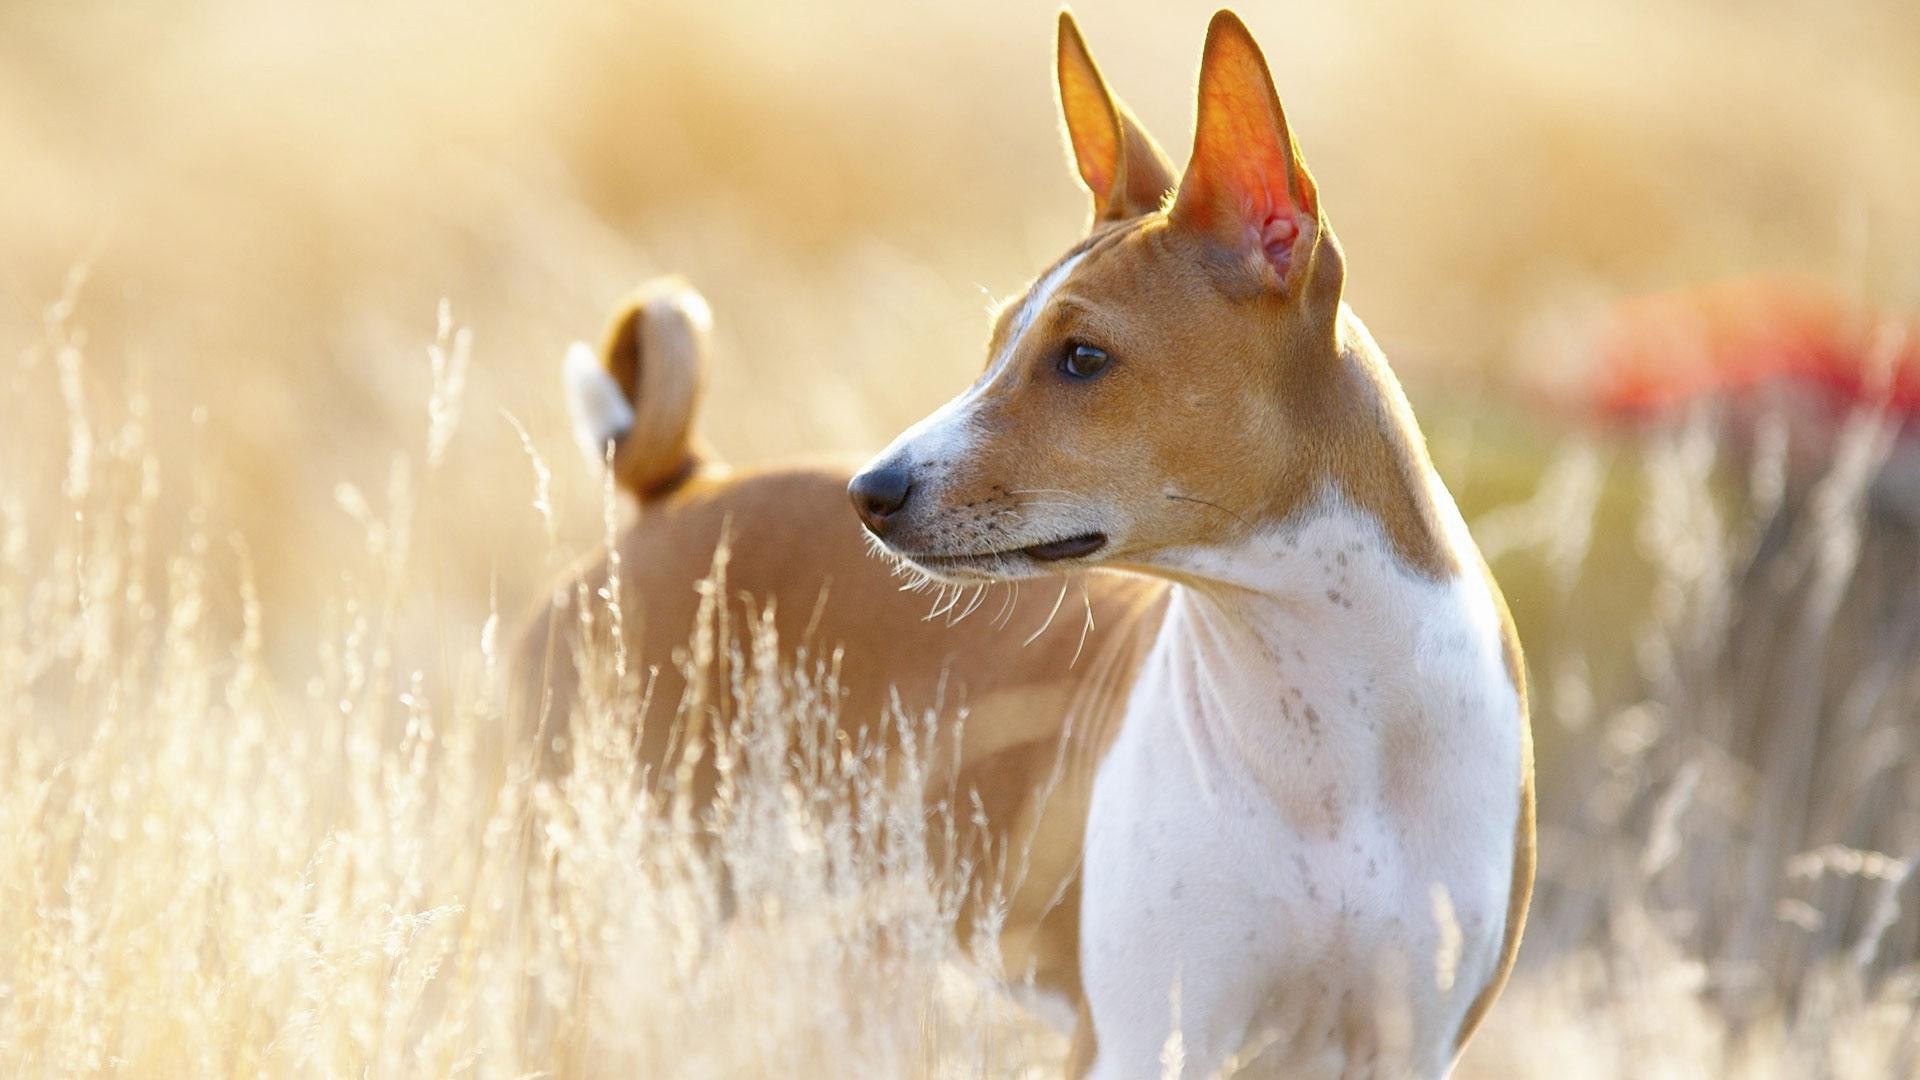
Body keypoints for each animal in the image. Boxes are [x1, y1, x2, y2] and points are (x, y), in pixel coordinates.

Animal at [848, 10, 1536, 1076]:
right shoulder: (1144, 1036)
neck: (1326, 726)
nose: (870, 491)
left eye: (1082, 358)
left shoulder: (1408, 1040)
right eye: (997, 341)